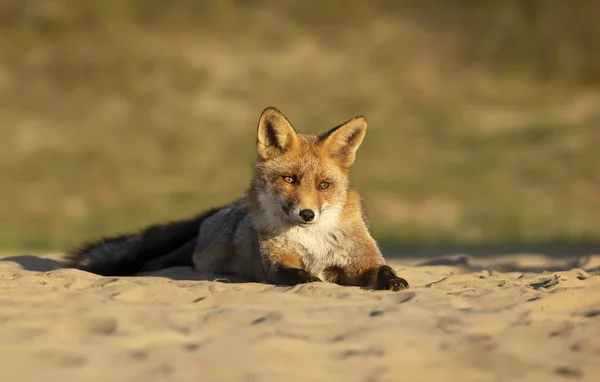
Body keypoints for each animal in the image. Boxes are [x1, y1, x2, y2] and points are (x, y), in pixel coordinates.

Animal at [68, 106, 410, 290]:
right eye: (290, 179)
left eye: (324, 185)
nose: (307, 214)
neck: (313, 240)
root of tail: (227, 208)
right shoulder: (276, 263)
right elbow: (297, 273)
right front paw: (311, 280)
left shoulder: (361, 260)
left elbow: (384, 269)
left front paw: (394, 280)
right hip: (193, 253)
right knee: (155, 260)